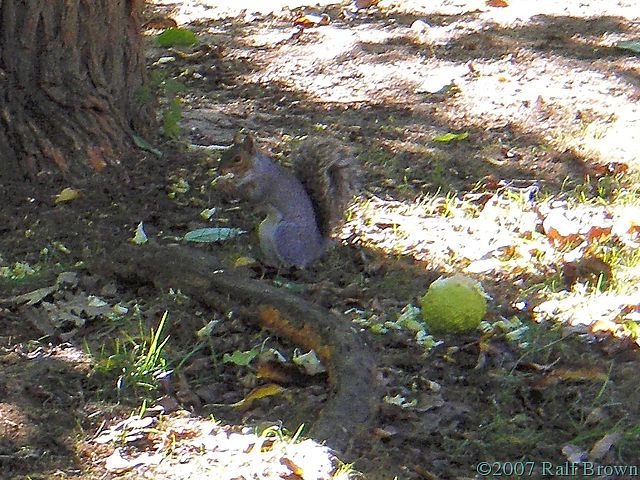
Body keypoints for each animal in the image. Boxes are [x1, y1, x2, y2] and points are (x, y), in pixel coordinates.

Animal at [220, 133, 360, 268]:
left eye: (237, 159)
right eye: (225, 153)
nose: (220, 170)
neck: (254, 169)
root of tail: (316, 248)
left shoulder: (265, 184)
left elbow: (254, 196)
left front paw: (230, 185)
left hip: (285, 234)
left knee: (294, 264)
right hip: (265, 232)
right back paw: (268, 263)